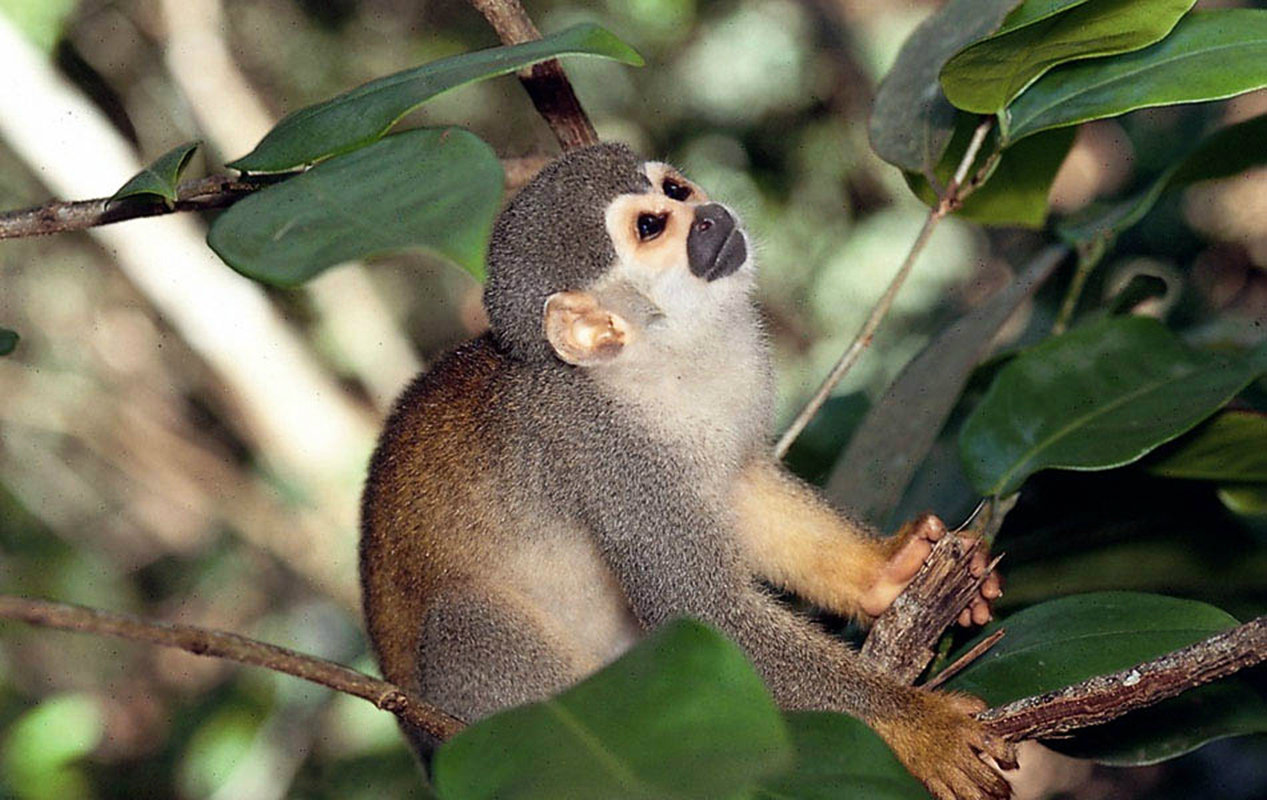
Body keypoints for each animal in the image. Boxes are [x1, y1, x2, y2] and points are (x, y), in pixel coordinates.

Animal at [359, 142, 1014, 800]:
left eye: (675, 189)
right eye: (652, 227)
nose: (708, 215)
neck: (656, 362)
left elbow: (743, 490)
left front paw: (888, 571)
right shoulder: (609, 454)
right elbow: (703, 611)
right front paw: (918, 724)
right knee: (461, 623)